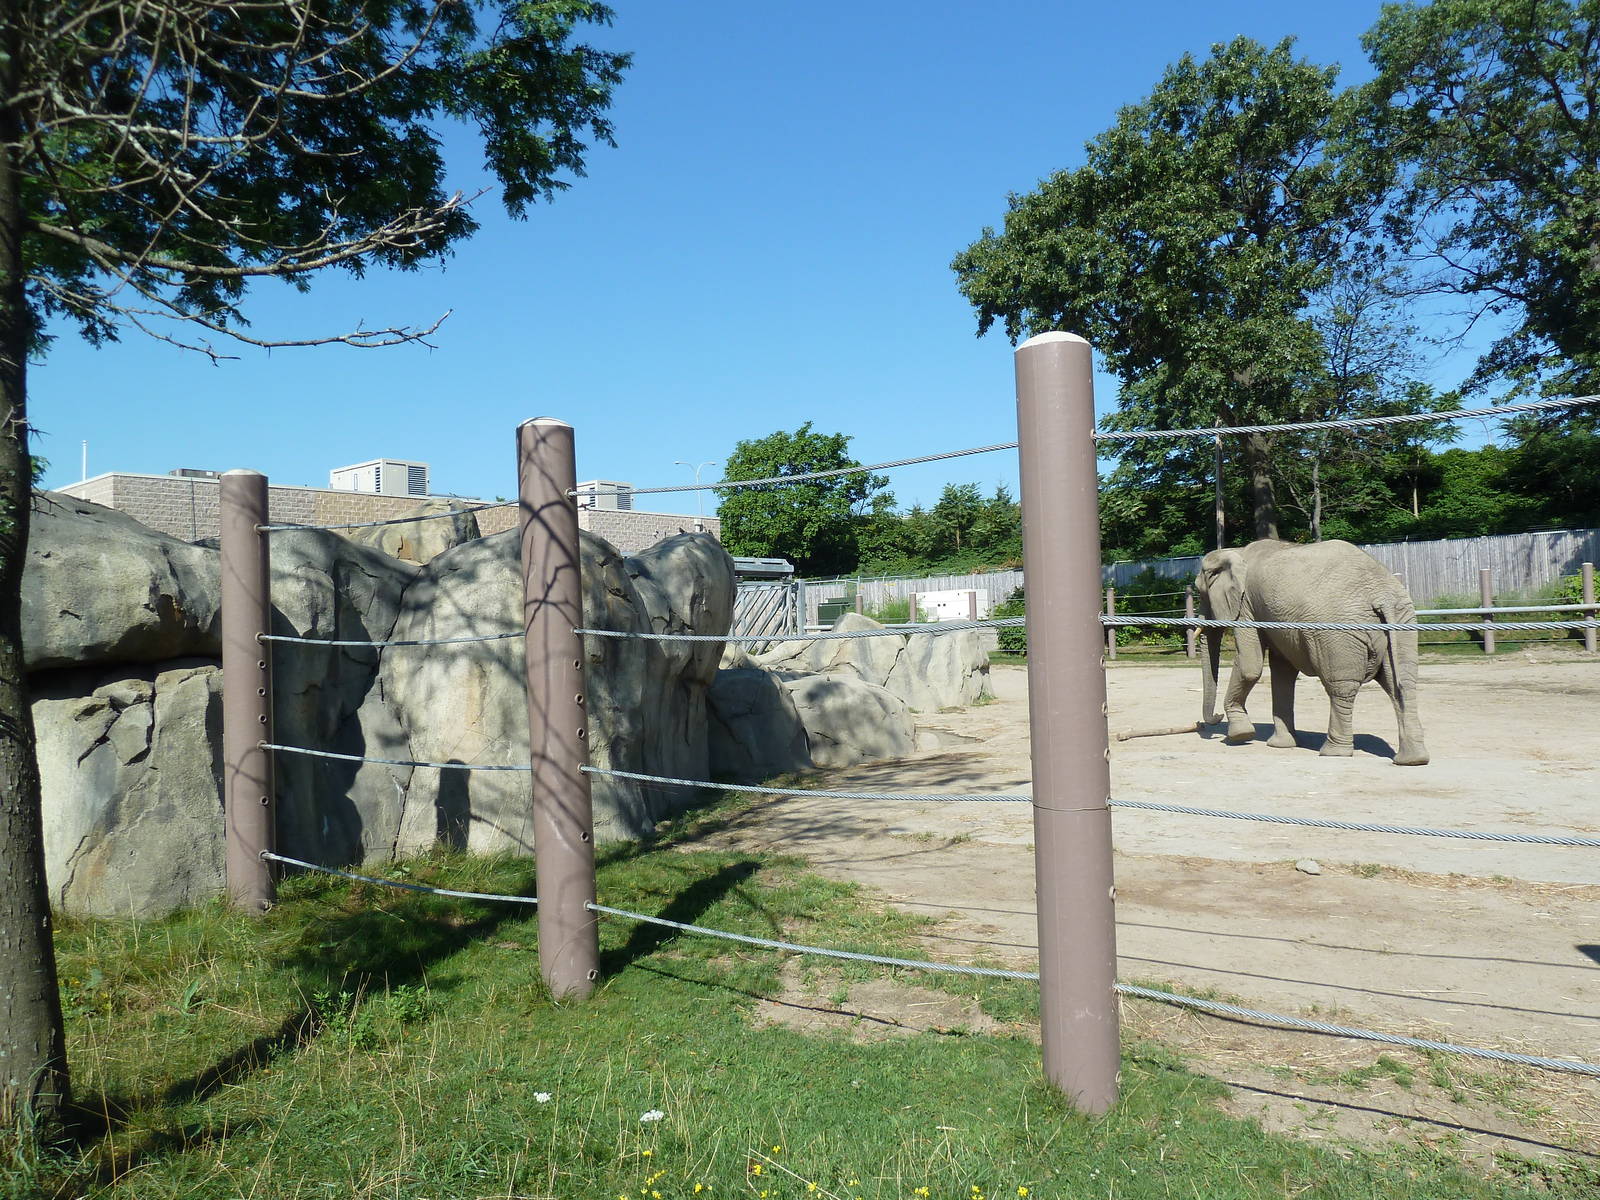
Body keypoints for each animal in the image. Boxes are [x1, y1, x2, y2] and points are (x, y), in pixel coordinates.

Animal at [1194, 539, 1429, 766]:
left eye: (1200, 592)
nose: (1212, 719)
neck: (1236, 550)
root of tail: (1382, 596)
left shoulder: (1246, 606)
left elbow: (1250, 667)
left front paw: (1240, 736)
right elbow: (1282, 671)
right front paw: (1281, 745)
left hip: (1338, 633)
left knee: (1341, 688)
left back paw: (1333, 753)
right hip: (1403, 623)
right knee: (1403, 684)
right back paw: (1413, 760)